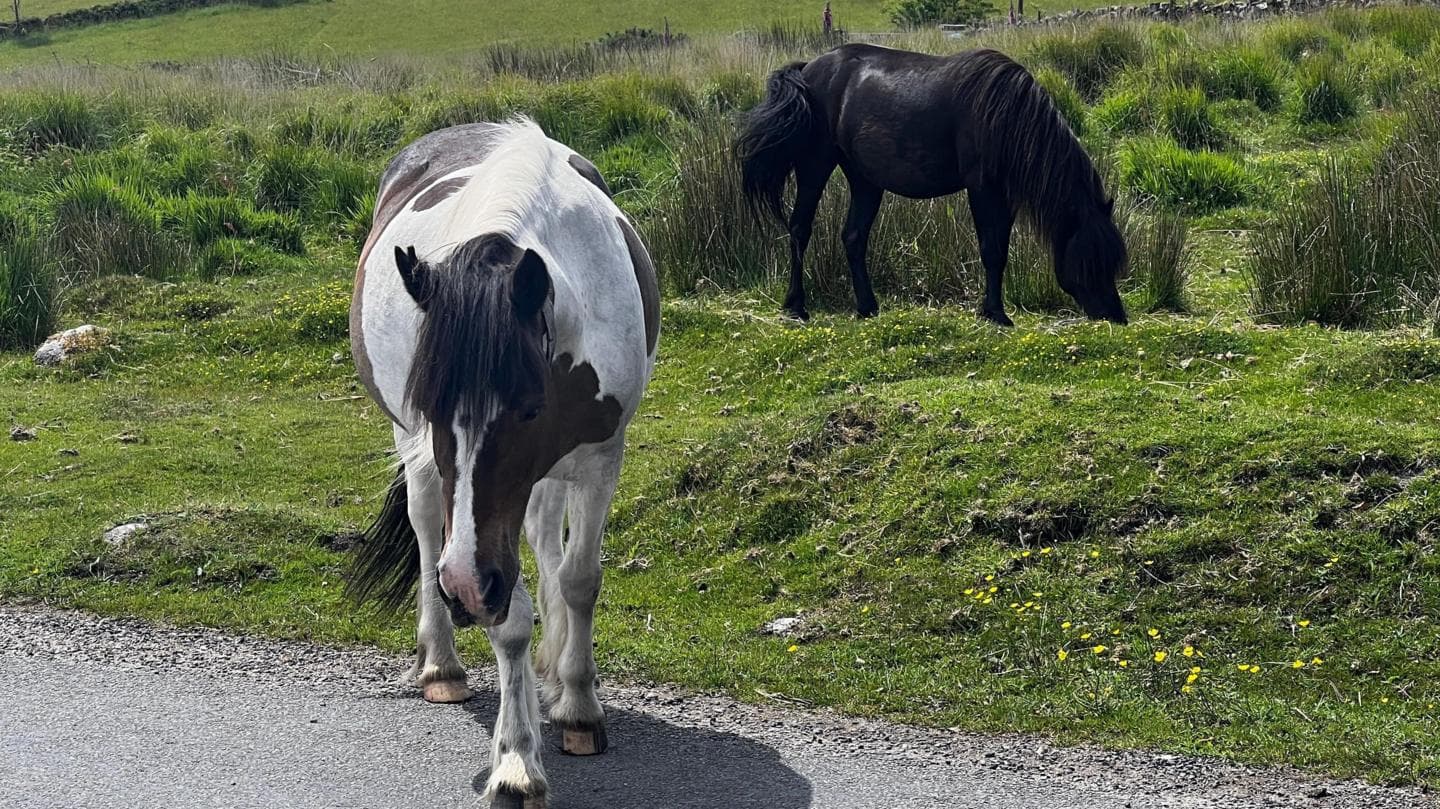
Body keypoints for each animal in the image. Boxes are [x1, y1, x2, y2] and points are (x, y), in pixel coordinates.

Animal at [347, 119, 659, 809]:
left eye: (528, 408)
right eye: (431, 406)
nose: (465, 586)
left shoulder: (600, 459)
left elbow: (578, 578)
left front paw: (577, 704)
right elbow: (510, 618)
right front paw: (516, 759)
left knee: (546, 543)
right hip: (418, 463)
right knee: (426, 523)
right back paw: (441, 663)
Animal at [735, 44, 1129, 326]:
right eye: (1092, 258)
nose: (1116, 316)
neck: (1004, 114)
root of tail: (809, 70)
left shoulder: (1005, 195)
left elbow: (1000, 251)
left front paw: (992, 310)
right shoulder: (981, 188)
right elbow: (991, 250)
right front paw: (996, 315)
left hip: (865, 180)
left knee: (853, 237)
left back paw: (867, 307)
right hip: (815, 165)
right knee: (799, 230)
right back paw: (796, 307)